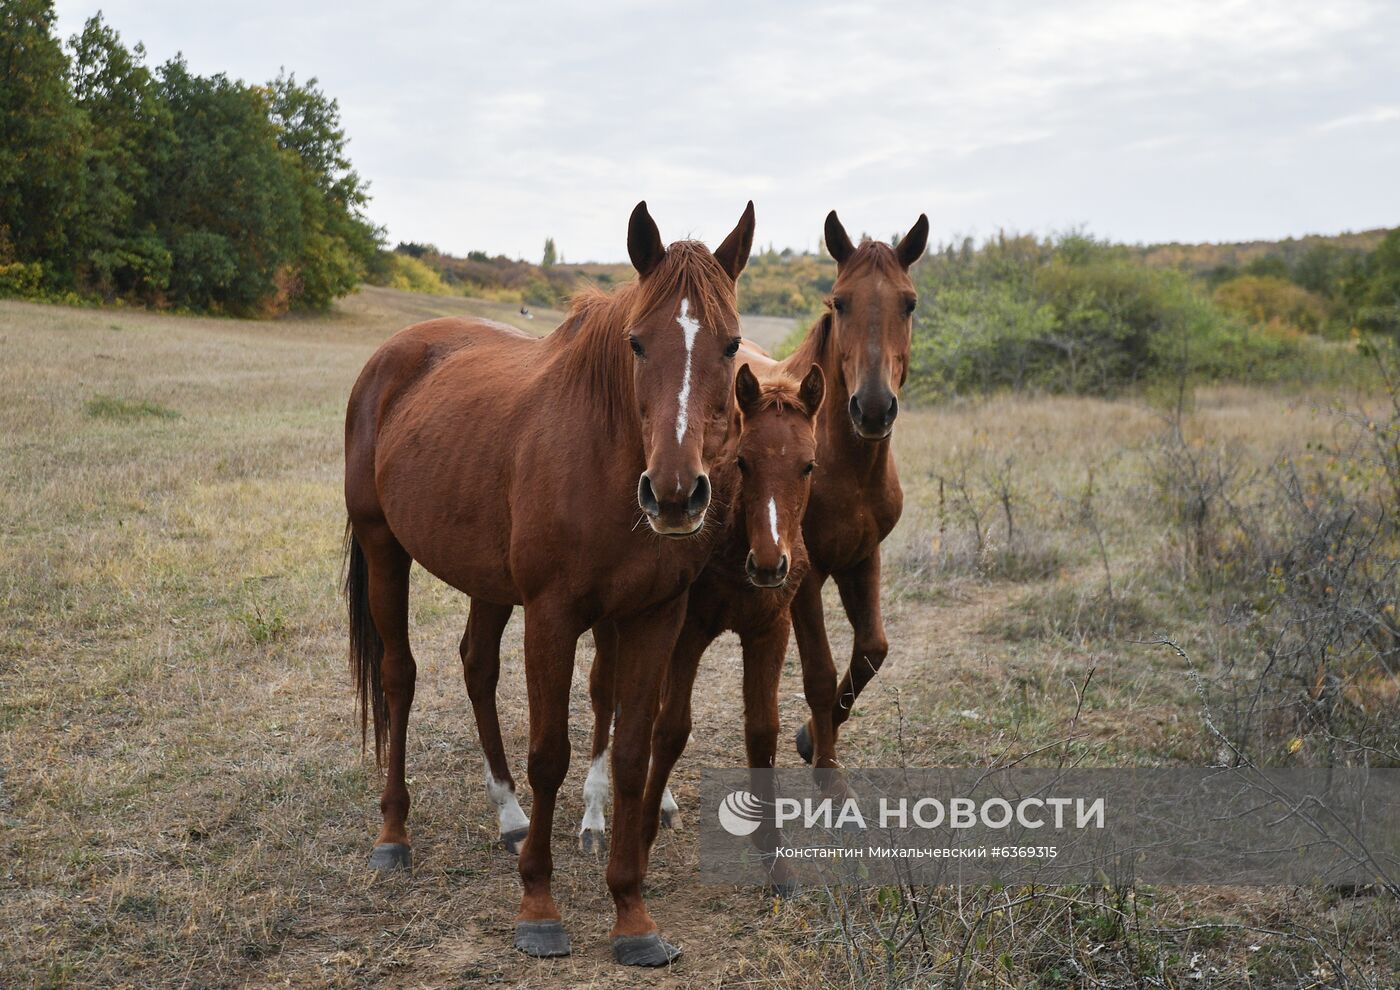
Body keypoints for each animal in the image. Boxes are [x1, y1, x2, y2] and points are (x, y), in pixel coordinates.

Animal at [343, 201, 756, 968]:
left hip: (485, 579)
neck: (604, 458)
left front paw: (631, 913)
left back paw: (507, 816)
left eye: (732, 344)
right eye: (637, 344)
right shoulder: (552, 614)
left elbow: (630, 756)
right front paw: (538, 905)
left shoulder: (654, 616)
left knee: (476, 666)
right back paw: (394, 836)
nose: (675, 495)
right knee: (398, 678)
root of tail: (395, 354)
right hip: (385, 548)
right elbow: (549, 755)